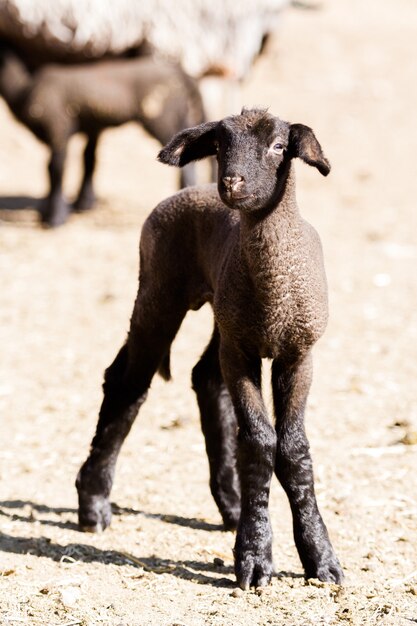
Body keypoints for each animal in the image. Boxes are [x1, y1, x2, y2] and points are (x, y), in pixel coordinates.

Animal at [0, 45, 205, 227]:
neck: (22, 91)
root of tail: (179, 73)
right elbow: (83, 161)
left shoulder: (58, 127)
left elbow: (55, 169)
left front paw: (56, 218)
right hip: (178, 115)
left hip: (160, 116)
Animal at [75, 105, 342, 588]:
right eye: (219, 145)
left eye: (279, 146)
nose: (232, 183)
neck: (276, 290)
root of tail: (189, 191)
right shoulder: (242, 352)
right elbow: (259, 441)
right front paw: (255, 558)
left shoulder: (297, 353)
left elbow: (293, 448)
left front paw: (321, 558)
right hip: (160, 291)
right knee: (128, 384)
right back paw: (94, 504)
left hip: (223, 315)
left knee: (202, 378)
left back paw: (231, 505)